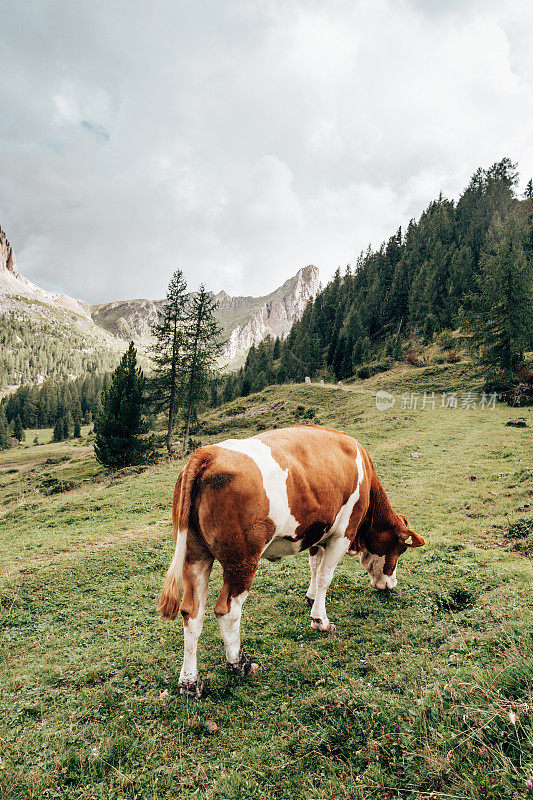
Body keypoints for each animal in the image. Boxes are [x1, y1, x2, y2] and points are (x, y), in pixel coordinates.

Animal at [158, 428, 424, 696]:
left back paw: (190, 682)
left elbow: (315, 567)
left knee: (192, 613)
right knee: (228, 611)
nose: (391, 584)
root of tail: (207, 454)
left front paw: (311, 597)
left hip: (195, 556)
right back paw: (239, 664)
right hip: (242, 560)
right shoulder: (343, 533)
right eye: (400, 549)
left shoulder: (317, 531)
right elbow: (325, 576)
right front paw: (320, 621)